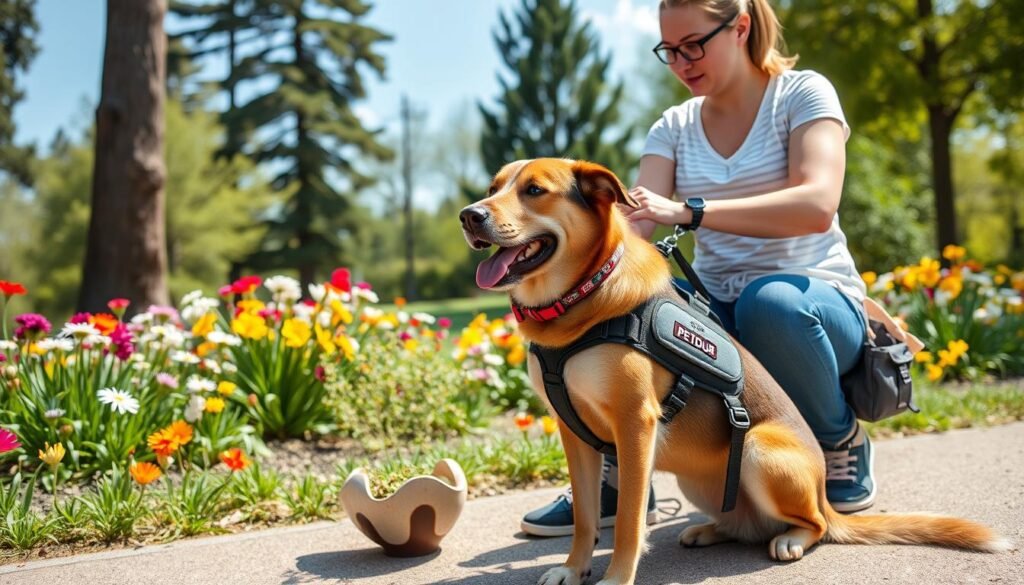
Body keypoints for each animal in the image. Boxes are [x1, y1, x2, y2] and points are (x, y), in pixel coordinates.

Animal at [460, 156, 1011, 585]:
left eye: (534, 190)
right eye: (492, 188)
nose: (469, 215)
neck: (583, 298)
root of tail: (823, 497)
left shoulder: (635, 425)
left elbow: (630, 522)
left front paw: (615, 577)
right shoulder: (574, 433)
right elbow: (586, 519)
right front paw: (574, 568)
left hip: (761, 452)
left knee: (814, 525)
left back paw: (792, 538)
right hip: (701, 481)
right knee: (742, 522)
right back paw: (711, 529)